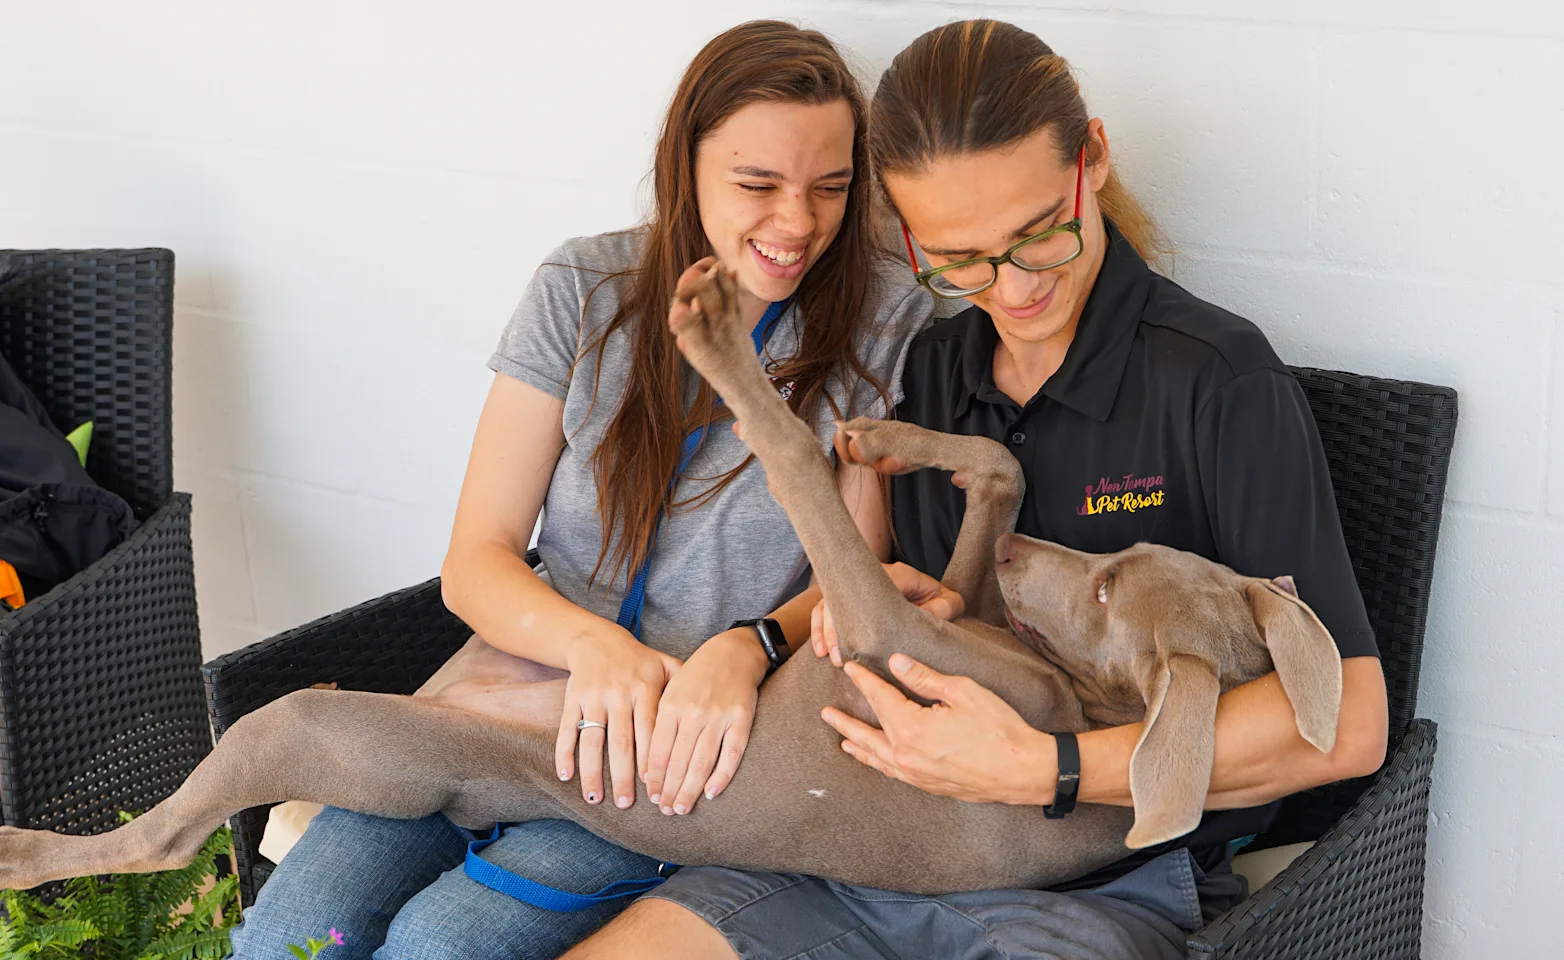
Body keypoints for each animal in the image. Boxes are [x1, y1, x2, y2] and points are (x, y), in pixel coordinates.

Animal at [0, 261, 1345, 894]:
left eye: (1112, 597)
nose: (1032, 569)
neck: (1083, 717)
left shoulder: (880, 630)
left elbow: (795, 458)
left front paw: (721, 346)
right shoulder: (944, 605)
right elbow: (995, 477)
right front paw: (890, 438)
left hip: (324, 734)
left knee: (166, 838)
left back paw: (27, 855)